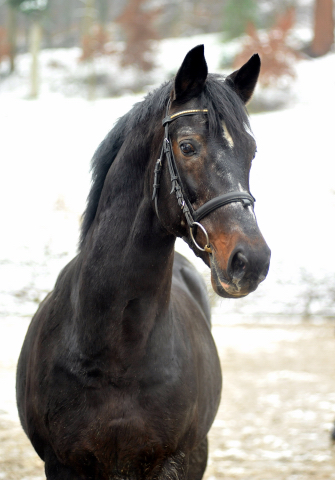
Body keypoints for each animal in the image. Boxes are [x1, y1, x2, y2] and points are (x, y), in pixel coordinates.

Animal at [17, 46, 272, 480]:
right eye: (187, 146)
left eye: (250, 152)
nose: (251, 261)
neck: (116, 353)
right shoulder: (63, 464)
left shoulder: (174, 462)